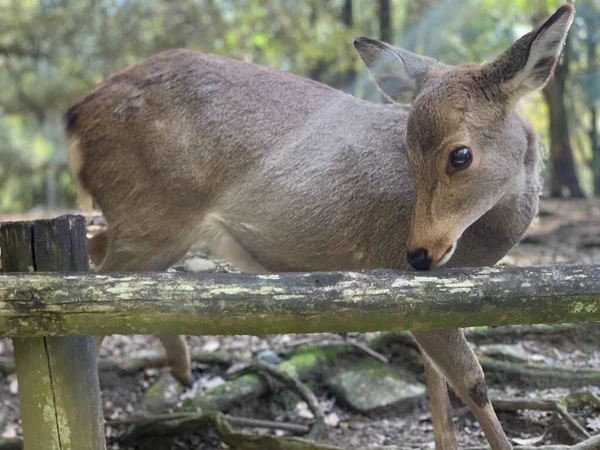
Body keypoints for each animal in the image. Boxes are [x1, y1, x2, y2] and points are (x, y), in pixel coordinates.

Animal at [63, 4, 576, 450]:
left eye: (460, 155)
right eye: (409, 154)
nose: (417, 253)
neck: (479, 246)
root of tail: (75, 115)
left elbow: (438, 386)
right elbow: (473, 382)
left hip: (150, 228)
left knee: (100, 254)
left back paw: (182, 367)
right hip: (151, 215)